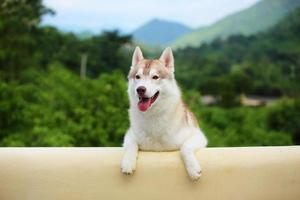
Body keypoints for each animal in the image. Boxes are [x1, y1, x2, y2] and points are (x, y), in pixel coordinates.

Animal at [120, 46, 207, 180]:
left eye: (155, 77)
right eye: (137, 77)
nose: (140, 89)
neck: (153, 115)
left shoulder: (198, 135)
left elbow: (185, 148)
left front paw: (193, 169)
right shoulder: (130, 135)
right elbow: (131, 144)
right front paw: (128, 163)